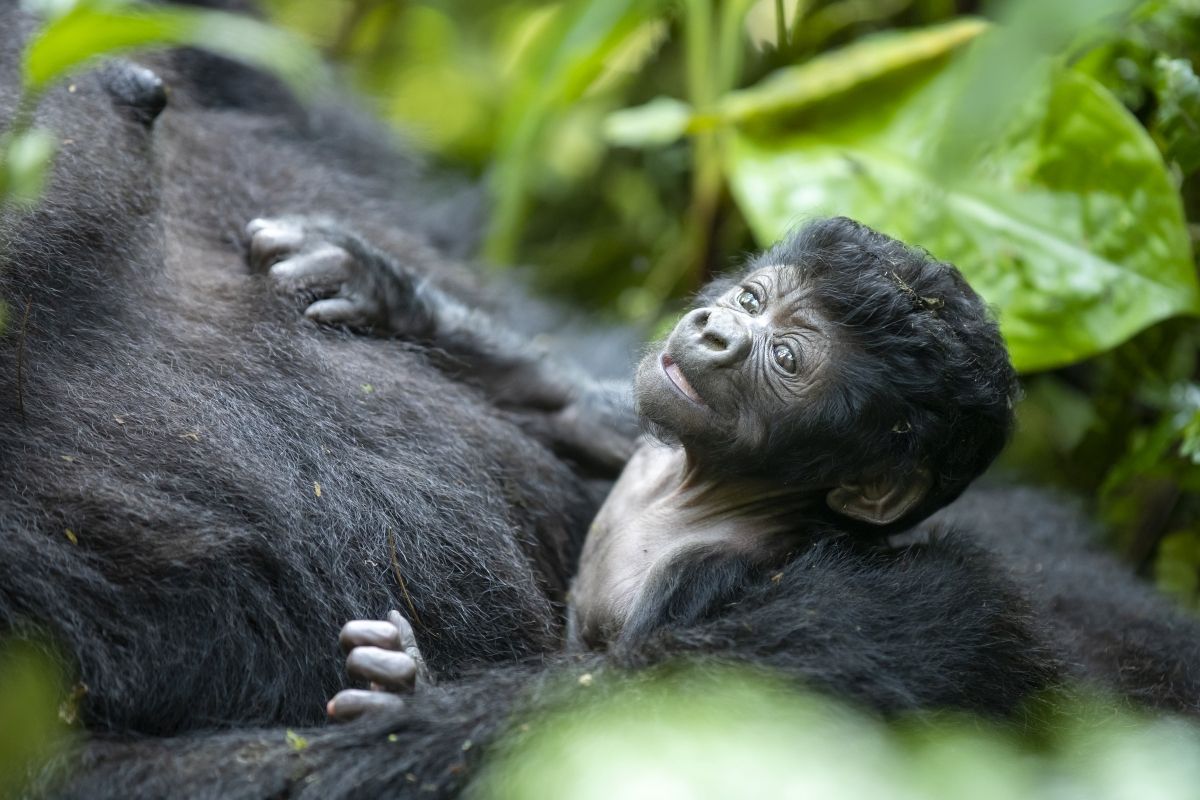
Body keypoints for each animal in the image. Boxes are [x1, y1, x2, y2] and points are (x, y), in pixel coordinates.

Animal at [248, 215, 1017, 714]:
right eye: (752, 300)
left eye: (787, 356)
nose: (716, 330)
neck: (697, 491)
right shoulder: (646, 439)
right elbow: (565, 404)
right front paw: (378, 285)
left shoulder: (704, 577)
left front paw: (410, 694)